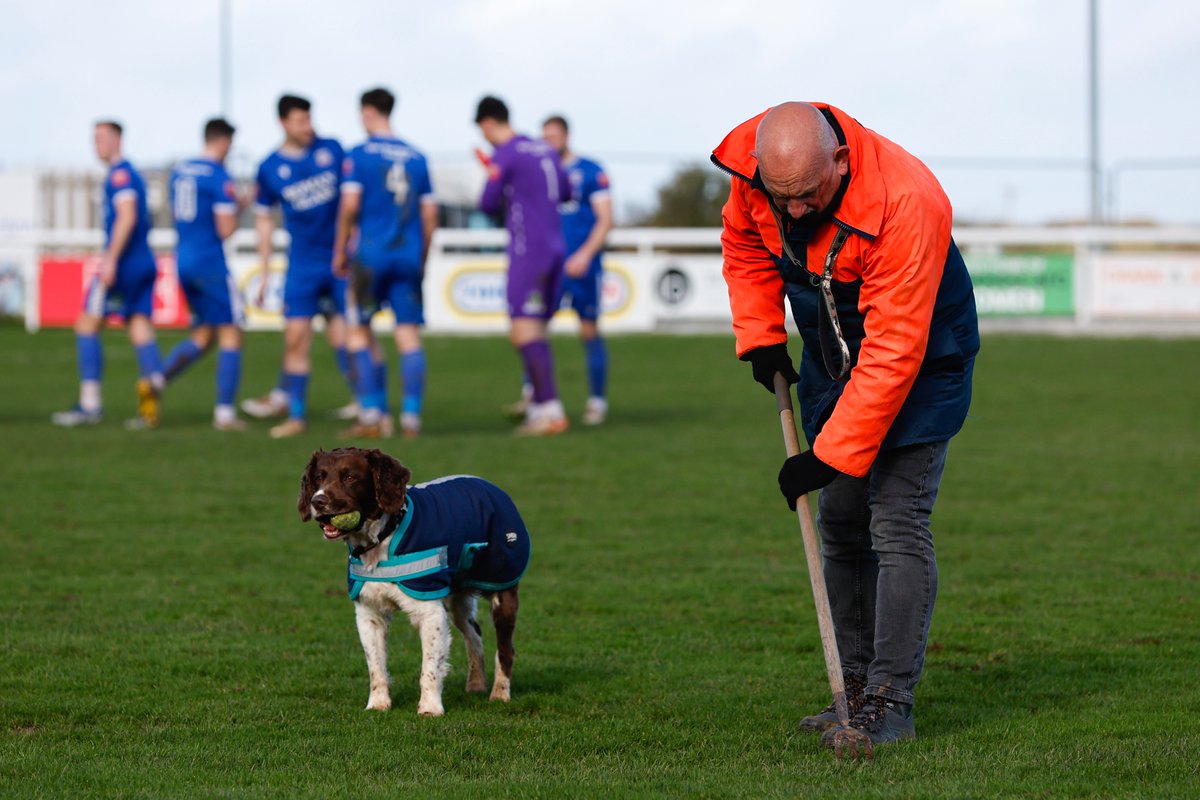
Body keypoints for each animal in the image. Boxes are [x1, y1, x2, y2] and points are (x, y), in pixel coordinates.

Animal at [296, 448, 530, 714]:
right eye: (319, 477)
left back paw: (500, 694)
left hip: (503, 588)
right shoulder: (369, 613)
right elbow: (375, 666)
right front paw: (378, 704)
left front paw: (430, 708)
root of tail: (491, 486)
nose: (318, 501)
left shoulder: (430, 611)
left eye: (350, 477)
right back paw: (476, 683)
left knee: (505, 649)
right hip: (457, 598)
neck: (382, 537)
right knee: (474, 634)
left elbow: (429, 667)